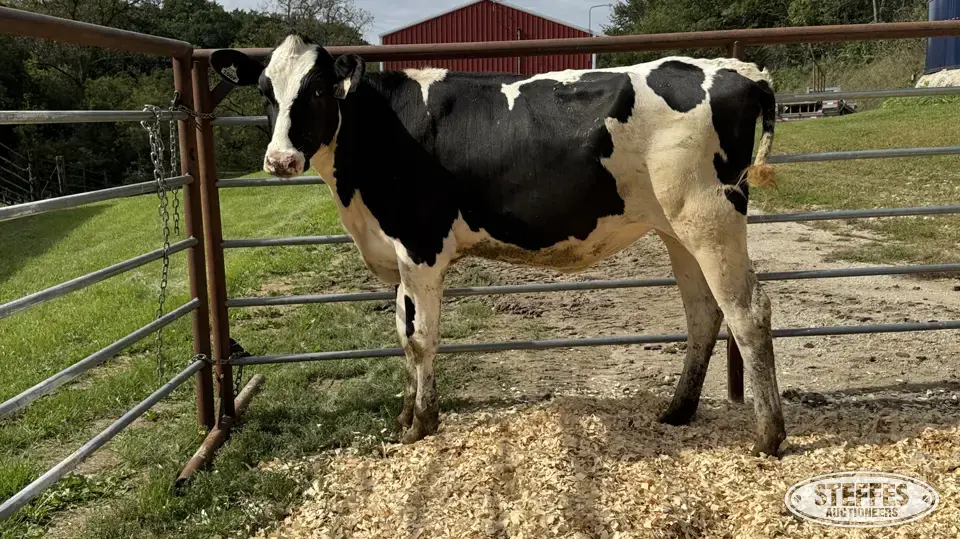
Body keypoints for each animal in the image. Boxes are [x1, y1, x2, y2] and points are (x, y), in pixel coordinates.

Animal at [210, 33, 787, 457]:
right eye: (266, 92)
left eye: (318, 91)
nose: (280, 160)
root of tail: (741, 70)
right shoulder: (396, 256)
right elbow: (402, 333)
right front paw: (405, 415)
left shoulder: (420, 246)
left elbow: (421, 339)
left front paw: (421, 424)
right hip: (677, 228)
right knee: (703, 313)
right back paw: (677, 412)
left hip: (710, 217)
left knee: (748, 311)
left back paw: (768, 436)